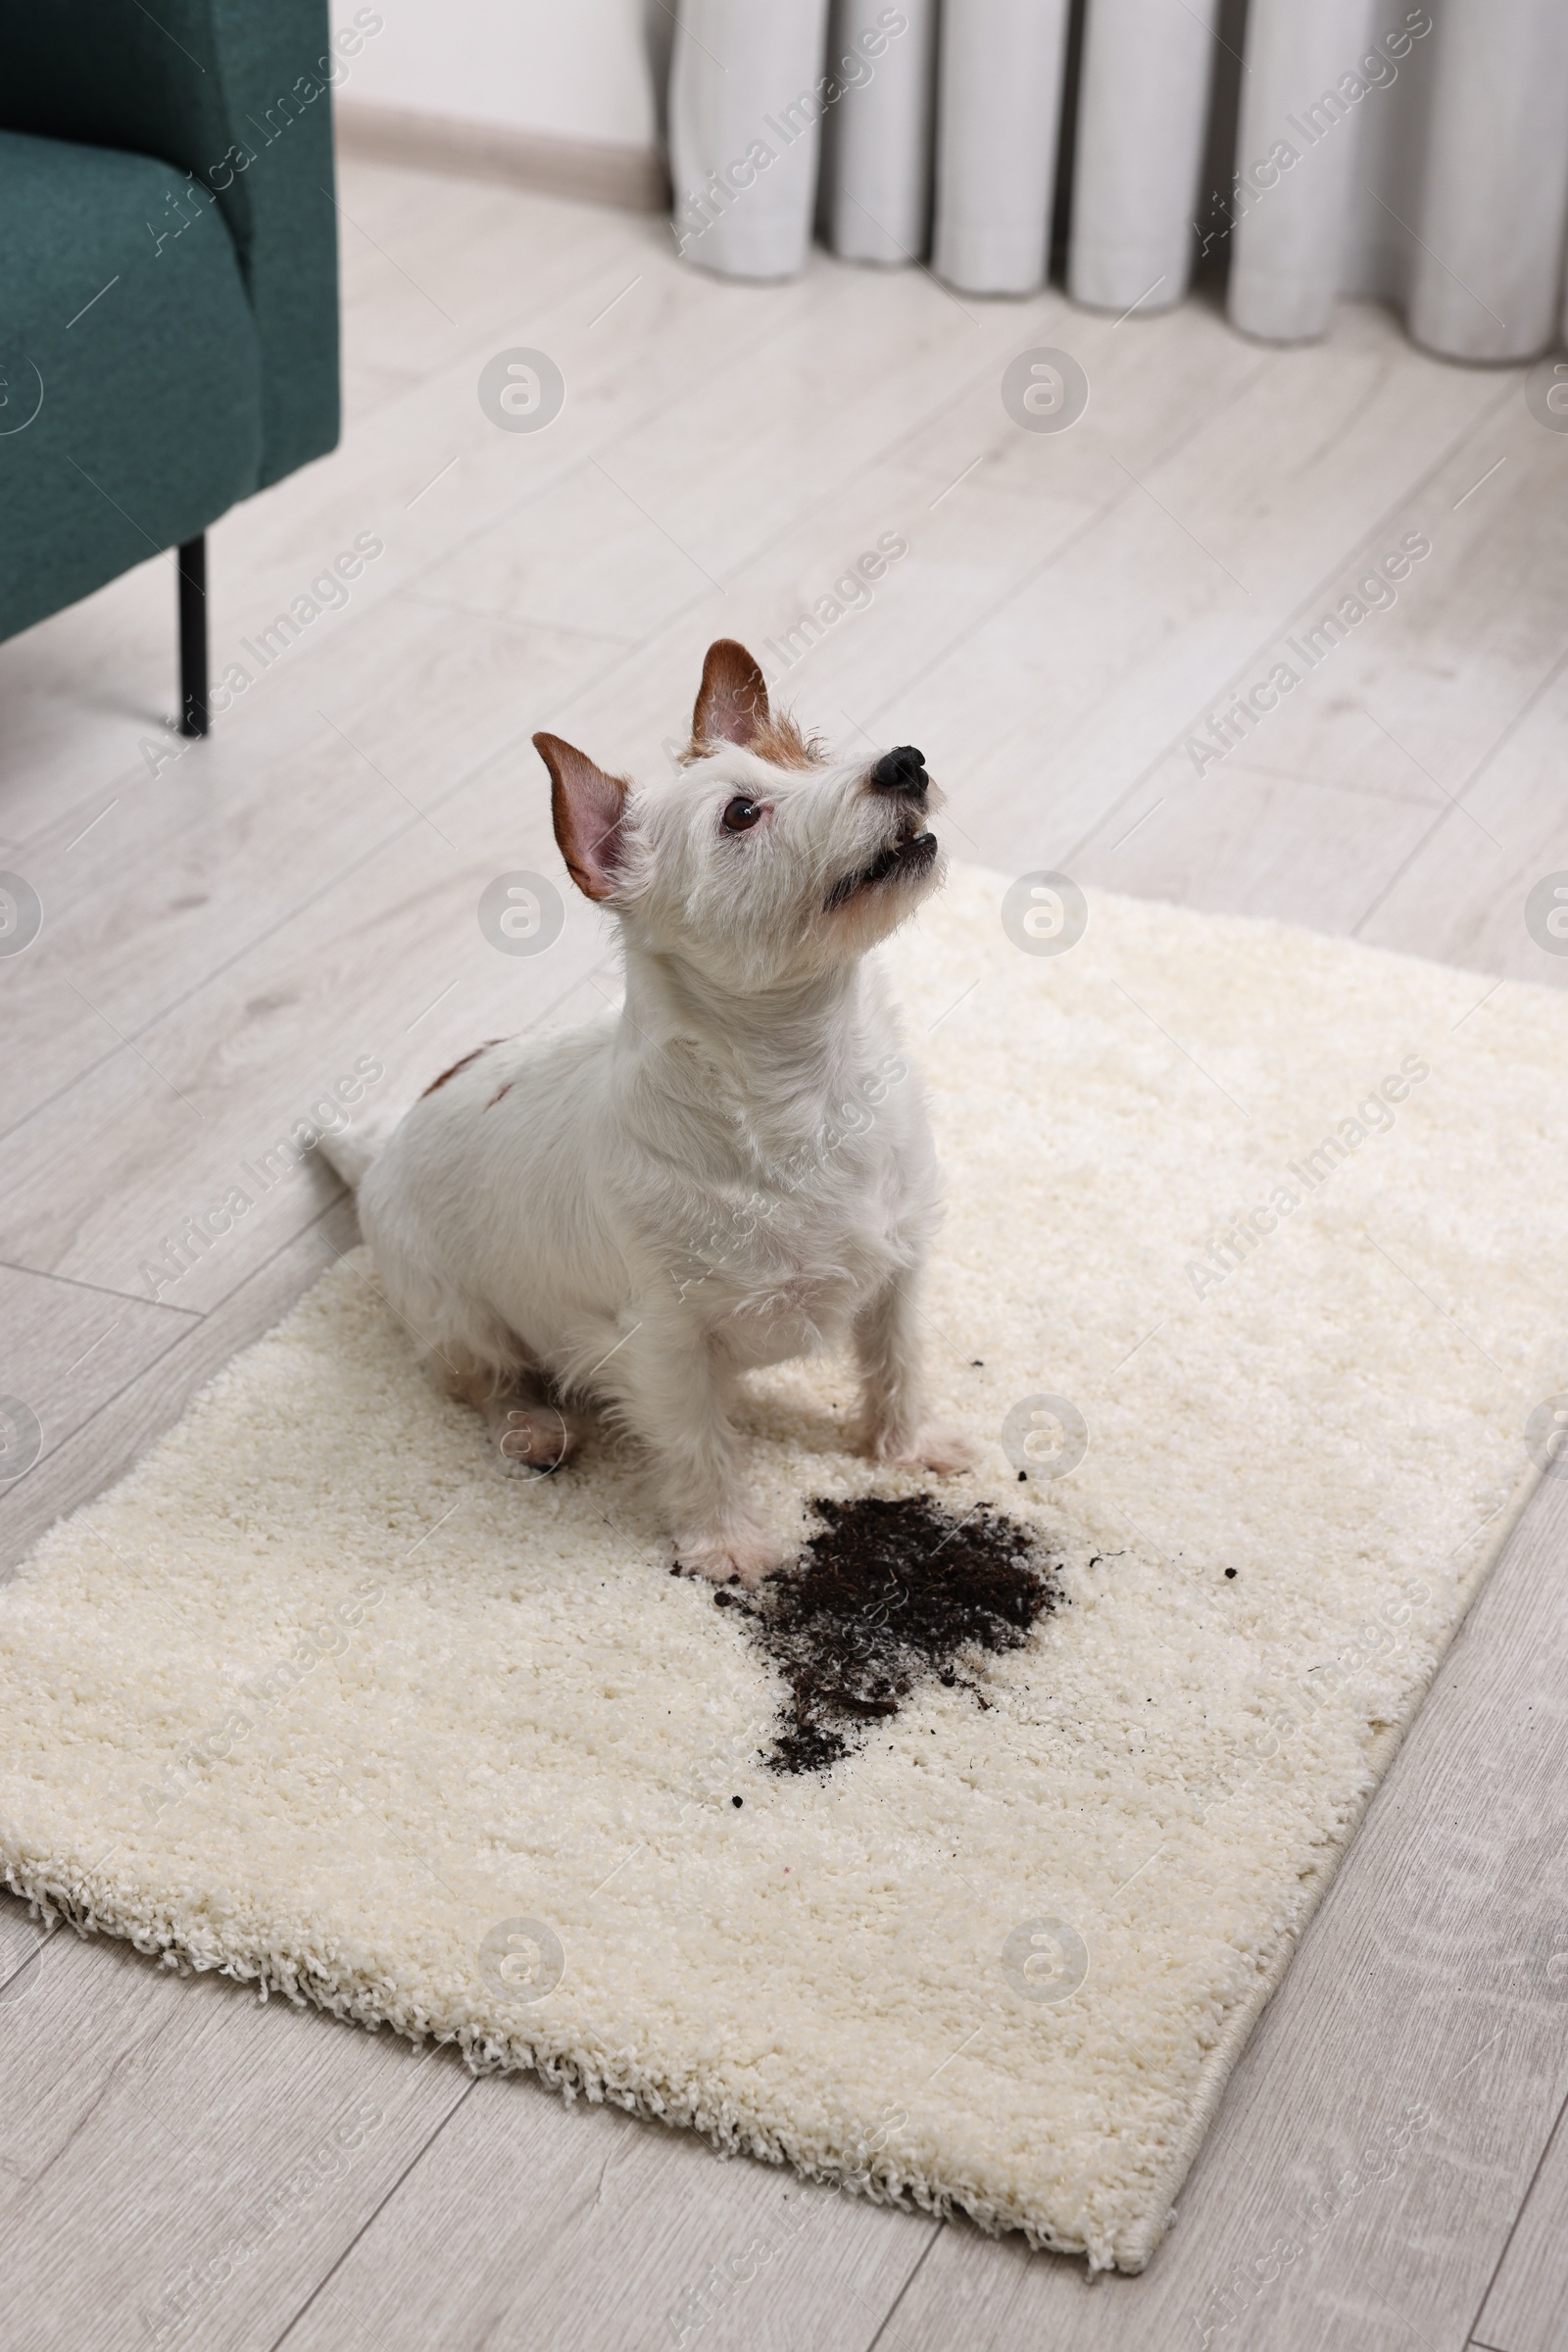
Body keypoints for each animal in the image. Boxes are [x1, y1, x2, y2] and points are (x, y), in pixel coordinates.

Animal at [338, 639, 973, 1580]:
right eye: (741, 814)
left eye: (809, 754)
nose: (905, 762)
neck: (809, 1085)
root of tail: (377, 1147)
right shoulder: (667, 1341)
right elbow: (700, 1444)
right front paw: (727, 1543)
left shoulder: (899, 1270)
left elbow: (900, 1363)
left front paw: (908, 1448)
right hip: (457, 1318)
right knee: (484, 1381)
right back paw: (532, 1427)